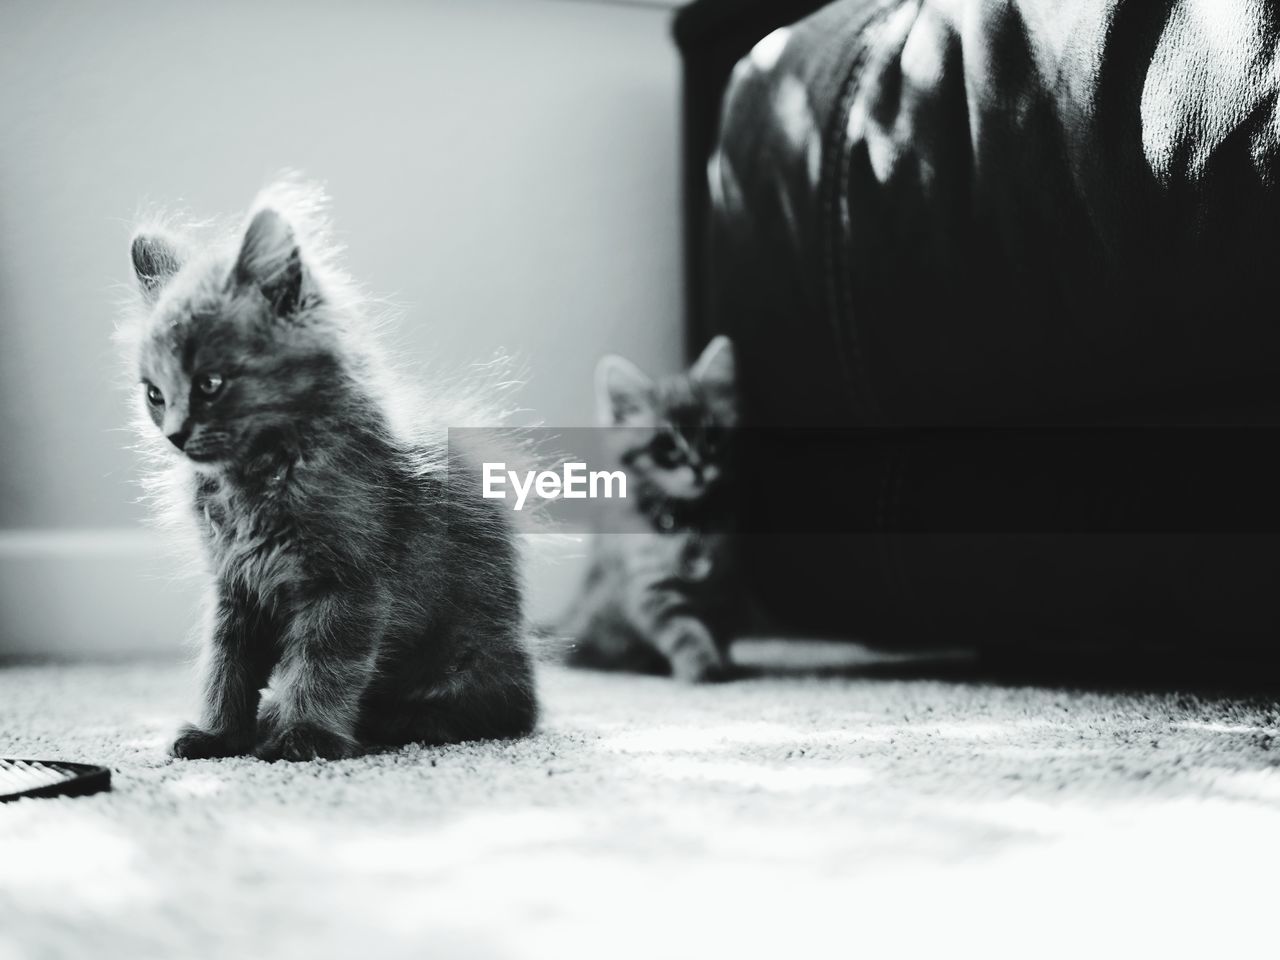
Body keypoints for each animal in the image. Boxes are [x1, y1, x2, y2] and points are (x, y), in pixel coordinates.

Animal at [122, 184, 537, 762]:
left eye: (210, 383)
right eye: (155, 395)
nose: (175, 434)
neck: (257, 480)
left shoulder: (347, 584)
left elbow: (324, 667)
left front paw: (306, 736)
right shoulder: (234, 586)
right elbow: (225, 669)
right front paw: (220, 736)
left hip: (471, 658)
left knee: (502, 710)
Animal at [558, 337, 742, 686]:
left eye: (712, 438)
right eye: (666, 445)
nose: (698, 468)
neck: (685, 518)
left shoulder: (723, 584)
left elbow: (721, 626)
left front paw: (723, 662)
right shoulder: (649, 586)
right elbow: (684, 630)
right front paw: (701, 666)